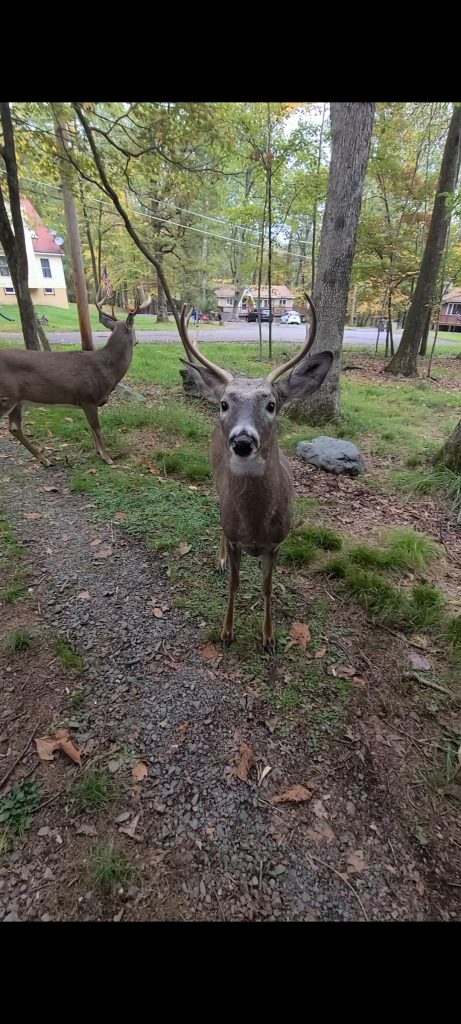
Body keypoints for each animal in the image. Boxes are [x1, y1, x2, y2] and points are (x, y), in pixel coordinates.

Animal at [0, 286, 150, 466]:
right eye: (135, 329)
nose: (137, 341)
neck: (107, 367)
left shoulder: (86, 402)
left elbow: (92, 428)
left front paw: (98, 452)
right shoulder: (88, 397)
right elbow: (97, 428)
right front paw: (107, 458)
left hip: (18, 400)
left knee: (14, 427)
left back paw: (45, 460)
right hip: (6, 396)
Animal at [178, 292, 333, 651]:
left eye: (272, 404)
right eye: (225, 404)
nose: (243, 441)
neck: (255, 526)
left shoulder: (276, 543)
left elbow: (266, 587)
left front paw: (269, 637)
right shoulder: (236, 538)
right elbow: (235, 584)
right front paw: (226, 632)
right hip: (215, 483)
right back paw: (219, 561)